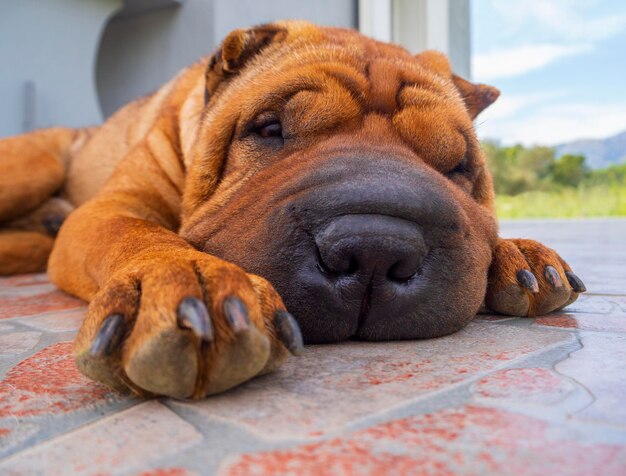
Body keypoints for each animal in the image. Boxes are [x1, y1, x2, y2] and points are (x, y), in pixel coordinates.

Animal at [0, 20, 584, 398]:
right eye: (269, 128)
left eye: (457, 163)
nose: (375, 249)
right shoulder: (110, 209)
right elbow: (138, 235)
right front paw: (189, 285)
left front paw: (519, 255)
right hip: (33, 164)